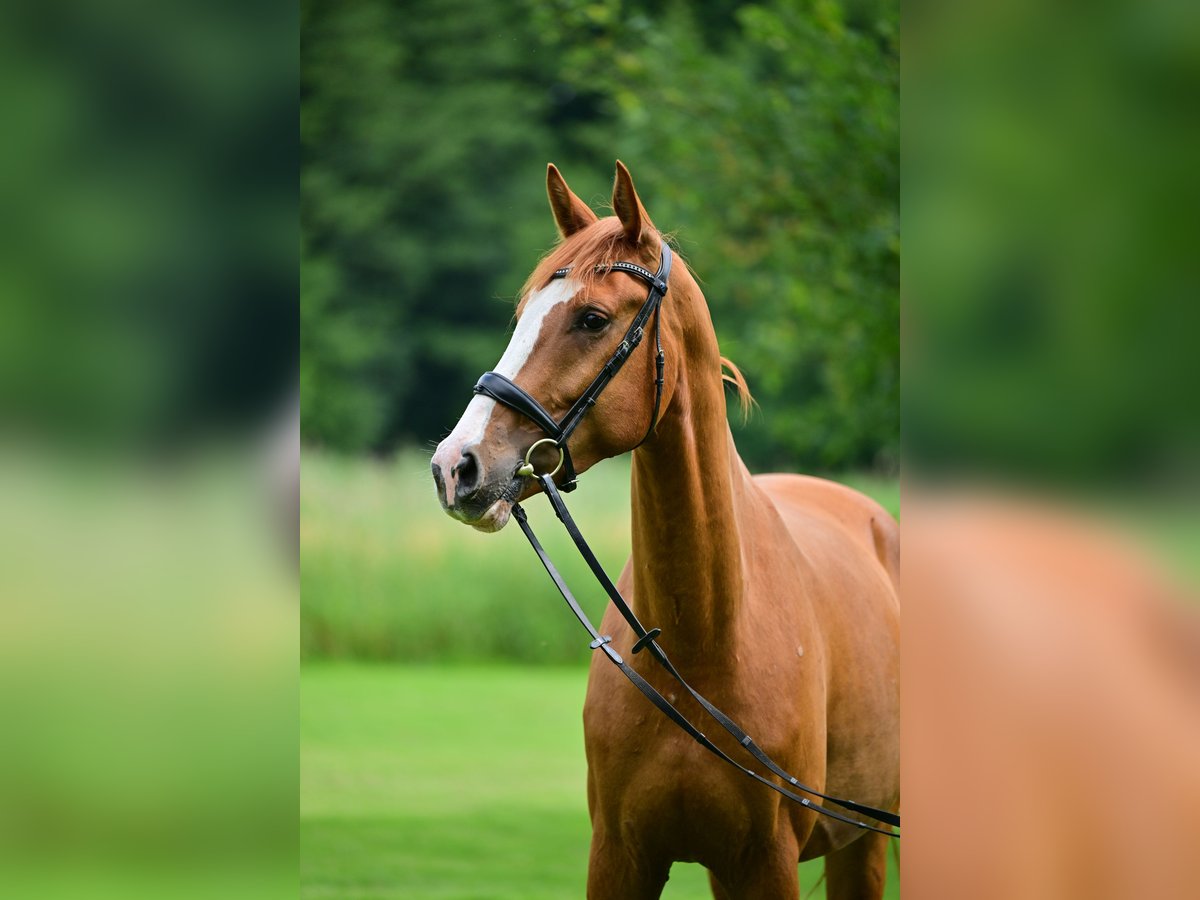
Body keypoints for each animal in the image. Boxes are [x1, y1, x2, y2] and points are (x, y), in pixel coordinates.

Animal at [434, 164, 902, 900]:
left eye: (592, 319)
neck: (703, 642)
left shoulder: (766, 862)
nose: (456, 465)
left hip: (863, 845)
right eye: (522, 315)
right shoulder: (621, 855)